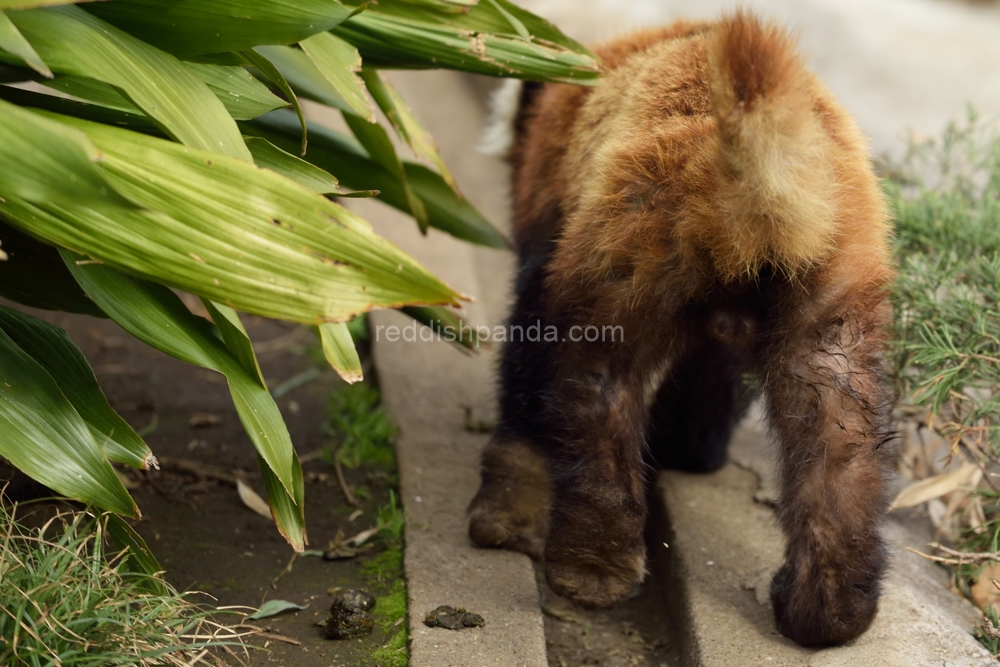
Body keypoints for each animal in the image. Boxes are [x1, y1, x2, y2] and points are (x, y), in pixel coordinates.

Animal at [468, 10, 900, 648]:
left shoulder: (553, 220)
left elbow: (527, 366)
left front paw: (505, 509)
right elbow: (713, 378)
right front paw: (690, 449)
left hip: (633, 238)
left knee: (598, 387)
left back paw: (590, 567)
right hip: (834, 272)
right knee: (838, 432)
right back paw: (829, 612)